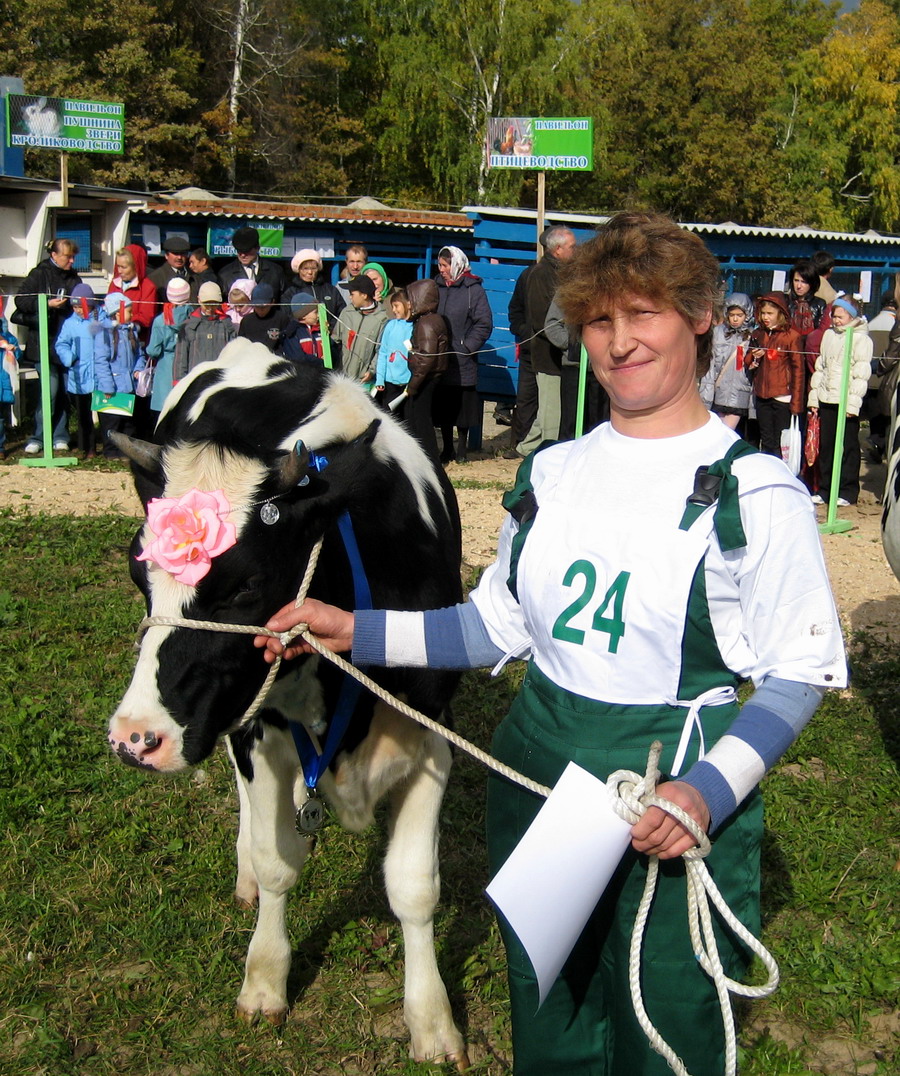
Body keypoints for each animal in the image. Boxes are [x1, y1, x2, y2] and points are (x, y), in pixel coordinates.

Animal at [108, 342, 467, 1067]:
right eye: (139, 573)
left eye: (245, 588)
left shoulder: (431, 732)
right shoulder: (259, 723)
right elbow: (279, 863)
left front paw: (432, 1021)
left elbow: (414, 887)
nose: (135, 737)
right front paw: (265, 981)